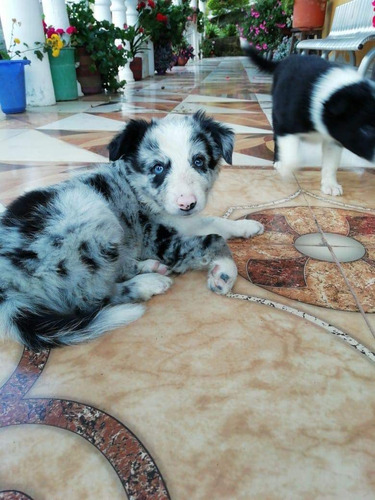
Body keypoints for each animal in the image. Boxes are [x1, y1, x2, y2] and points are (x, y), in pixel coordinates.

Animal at [0, 111, 264, 350]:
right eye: (158, 168)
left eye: (198, 161)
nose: (187, 204)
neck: (138, 189)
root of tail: (7, 285)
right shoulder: (159, 241)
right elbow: (214, 238)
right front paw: (224, 274)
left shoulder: (182, 222)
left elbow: (215, 222)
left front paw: (245, 225)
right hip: (92, 214)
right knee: (92, 298)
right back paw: (147, 283)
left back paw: (147, 267)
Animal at [247, 47, 375, 195]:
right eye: (366, 130)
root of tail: (285, 60)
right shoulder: (285, 125)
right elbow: (291, 157)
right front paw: (286, 168)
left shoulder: (334, 138)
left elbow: (331, 163)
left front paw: (330, 185)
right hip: (276, 116)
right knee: (277, 139)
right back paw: (279, 160)